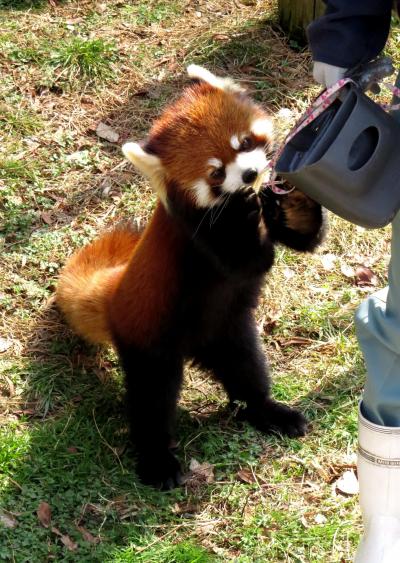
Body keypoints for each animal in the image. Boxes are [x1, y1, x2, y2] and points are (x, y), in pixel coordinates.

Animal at [57, 65, 324, 490]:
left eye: (244, 141)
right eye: (215, 173)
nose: (250, 174)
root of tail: (114, 295)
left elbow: (301, 237)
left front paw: (291, 200)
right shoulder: (200, 237)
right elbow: (247, 262)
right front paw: (249, 210)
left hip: (228, 330)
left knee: (246, 370)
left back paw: (267, 411)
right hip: (150, 343)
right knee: (151, 401)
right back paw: (157, 461)